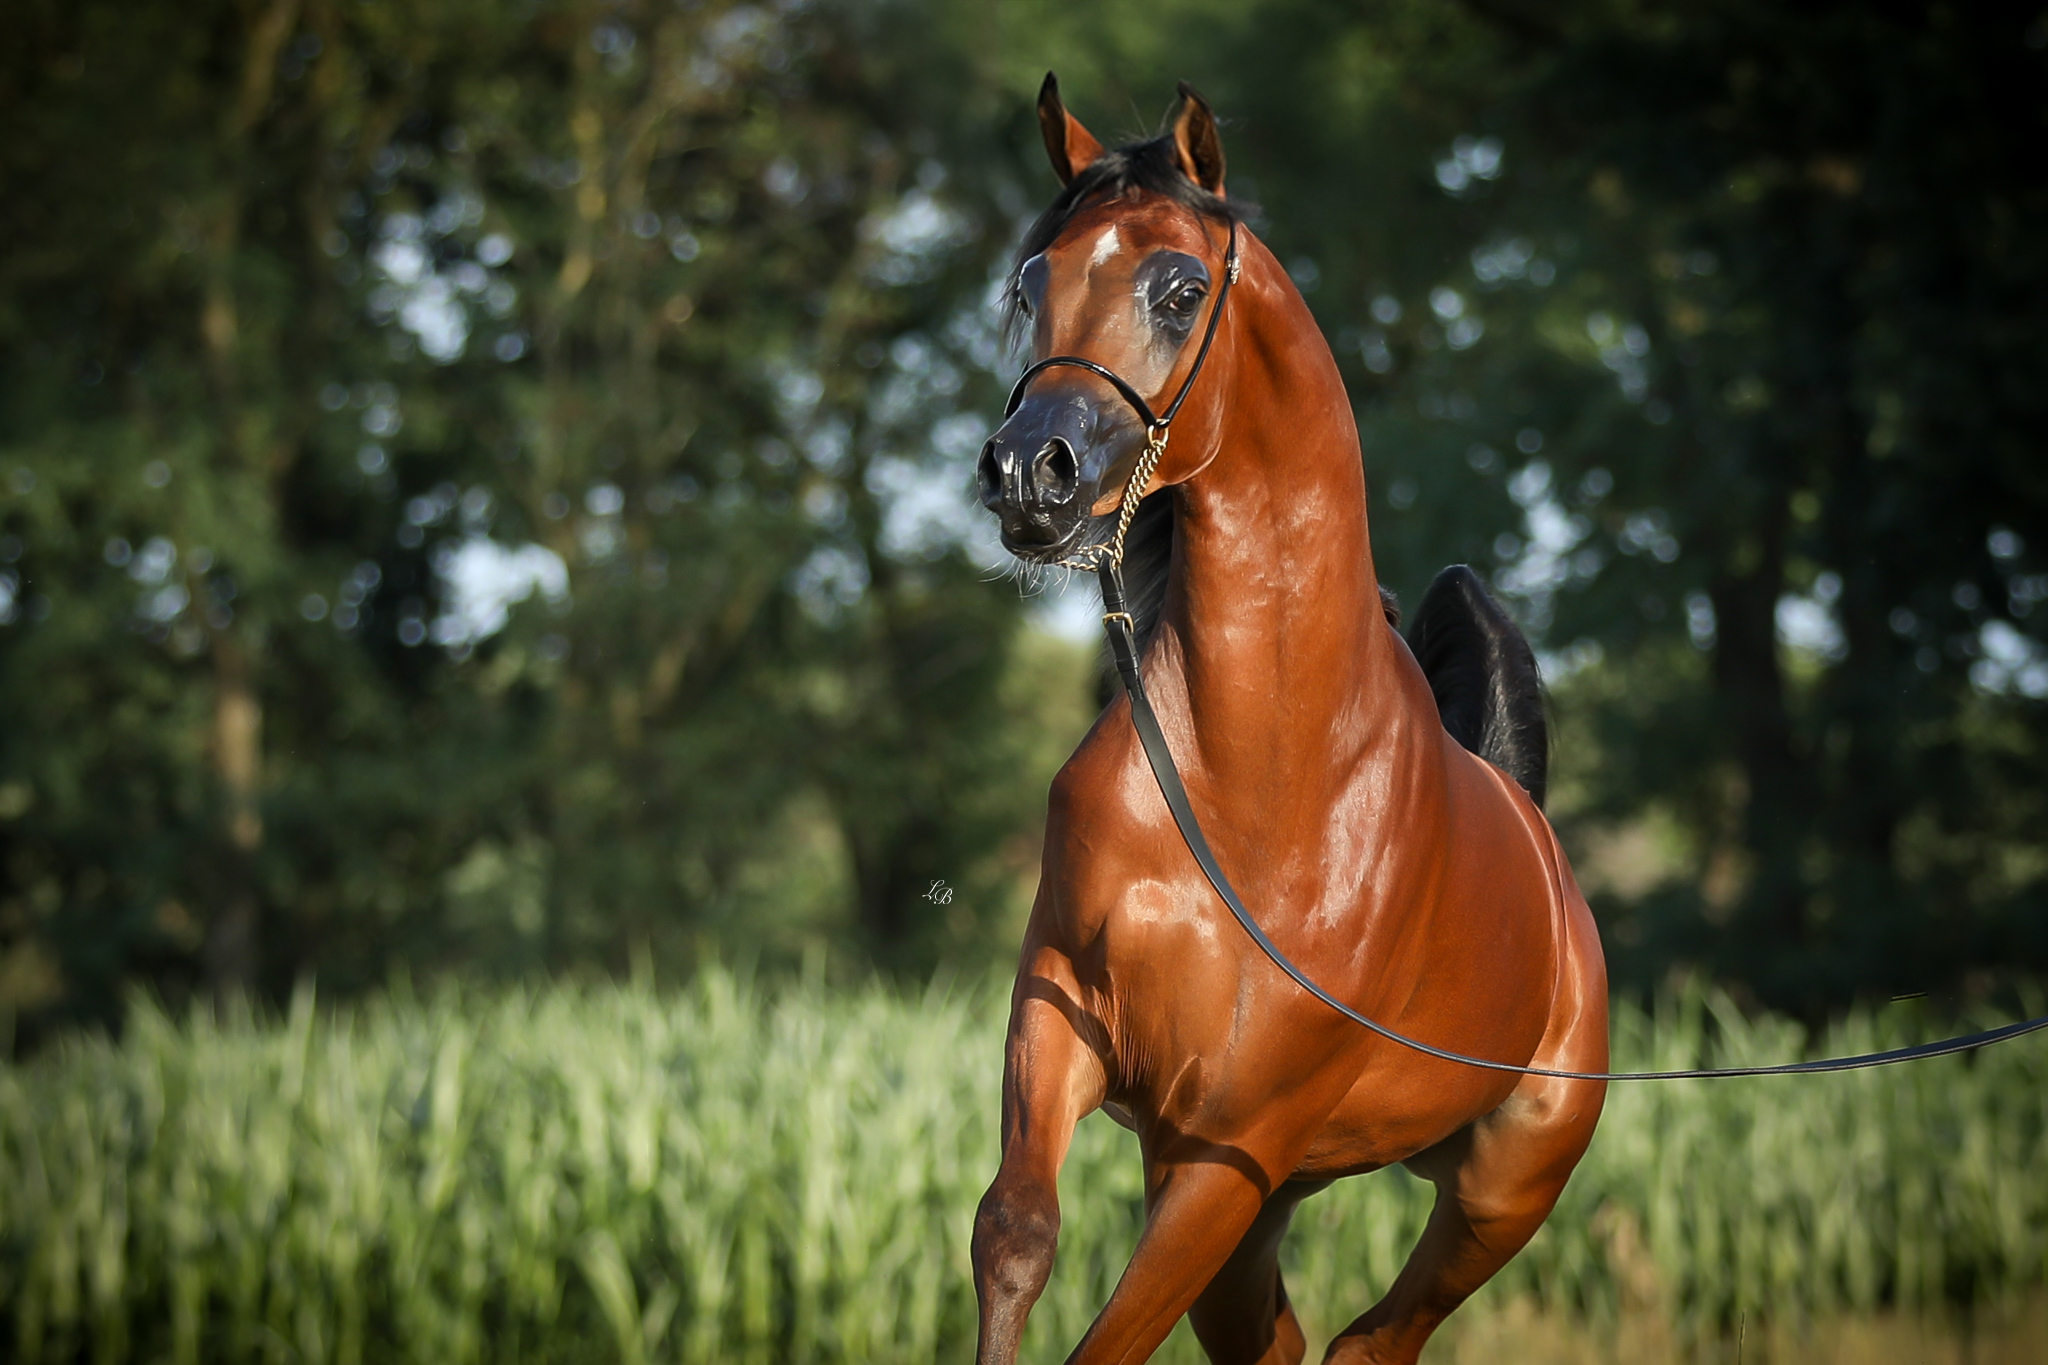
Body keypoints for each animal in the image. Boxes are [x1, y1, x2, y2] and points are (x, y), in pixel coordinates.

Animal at [968, 76, 1609, 1365]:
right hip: (1273, 1206)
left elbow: (1109, 1340)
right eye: (1027, 284)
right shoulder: (1065, 1030)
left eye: (1178, 289)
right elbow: (1013, 1235)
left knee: (1374, 1341)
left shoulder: (1228, 1151)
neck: (1252, 775)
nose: (1027, 473)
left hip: (1494, 1196)